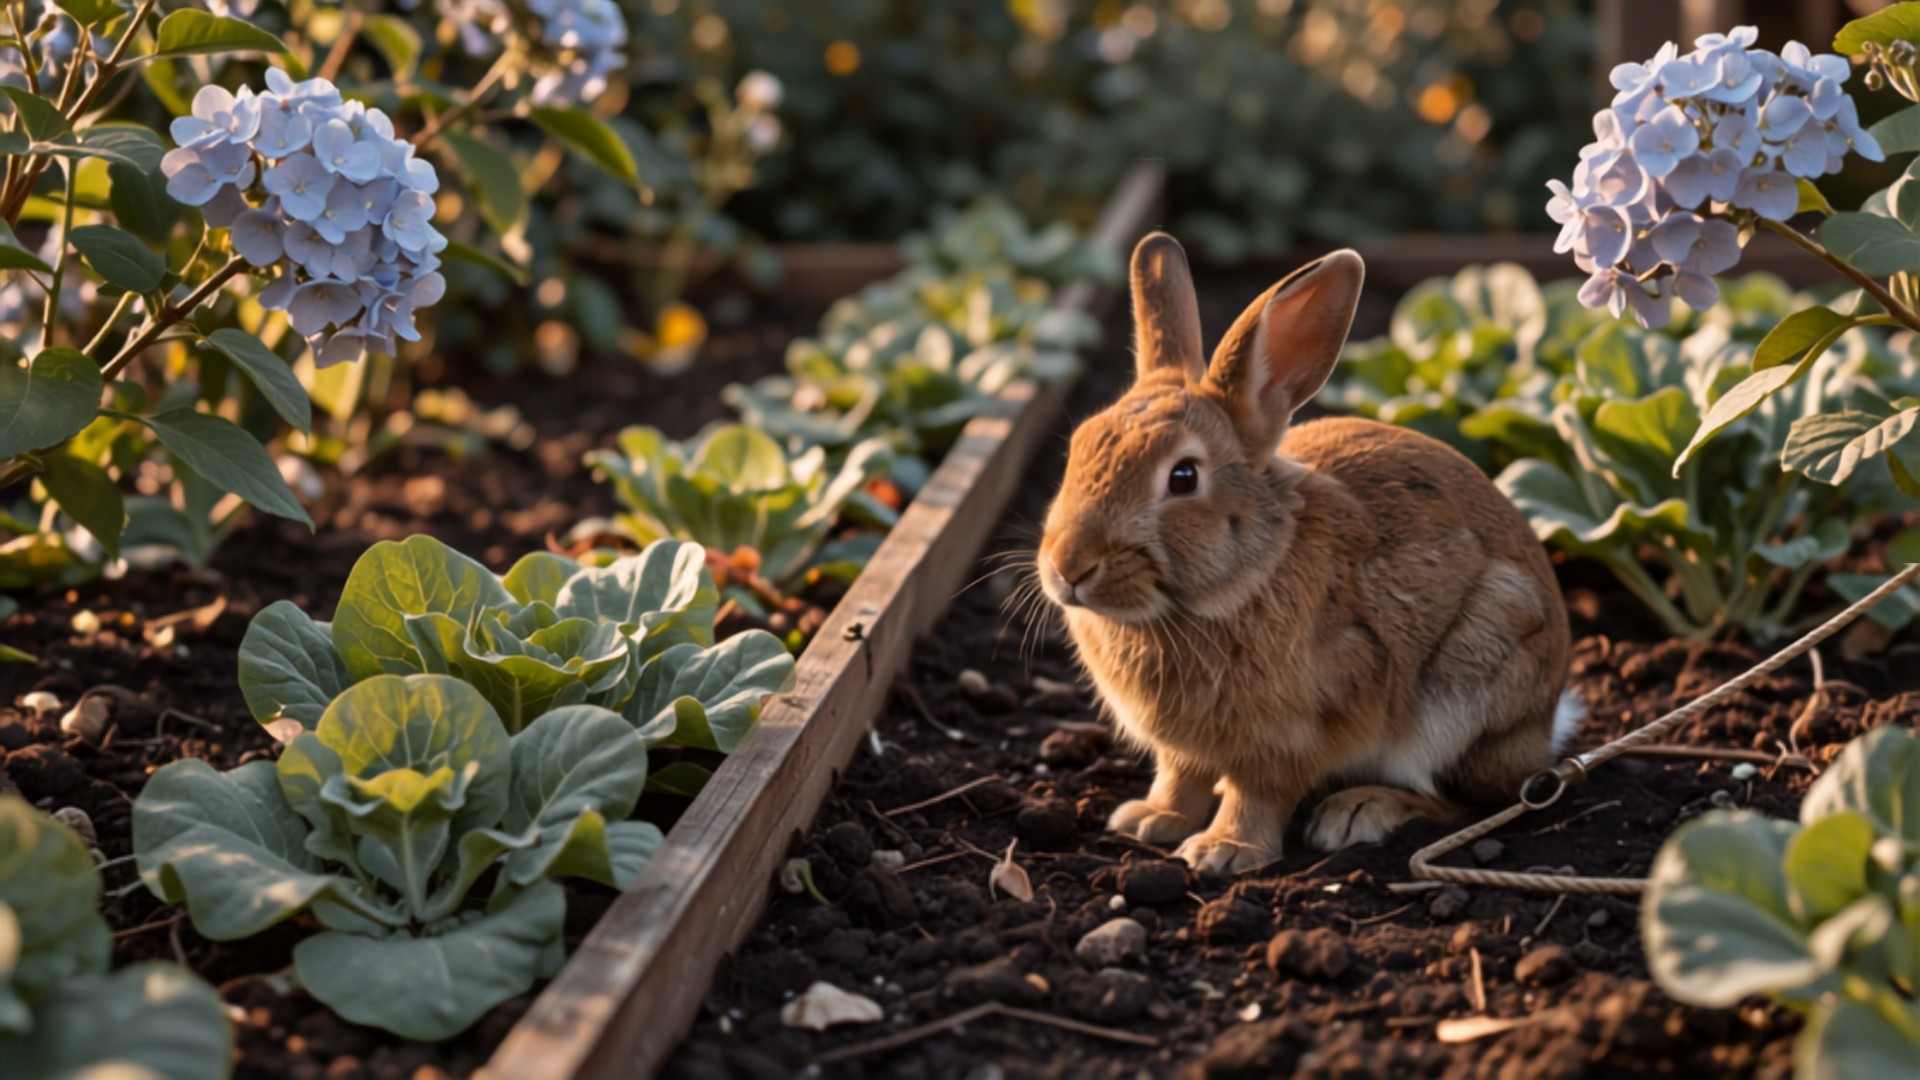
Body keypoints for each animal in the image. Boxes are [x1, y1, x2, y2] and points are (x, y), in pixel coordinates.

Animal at [1035, 232, 1582, 876]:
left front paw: (1225, 851)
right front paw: (1152, 819)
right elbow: (1180, 776)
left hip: (1474, 673)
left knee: (1464, 798)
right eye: (1076, 448)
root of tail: (1545, 728)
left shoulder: (1294, 730)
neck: (1237, 582)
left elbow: (1259, 792)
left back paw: (1358, 811)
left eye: (1183, 477)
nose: (1069, 567)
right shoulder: (1184, 748)